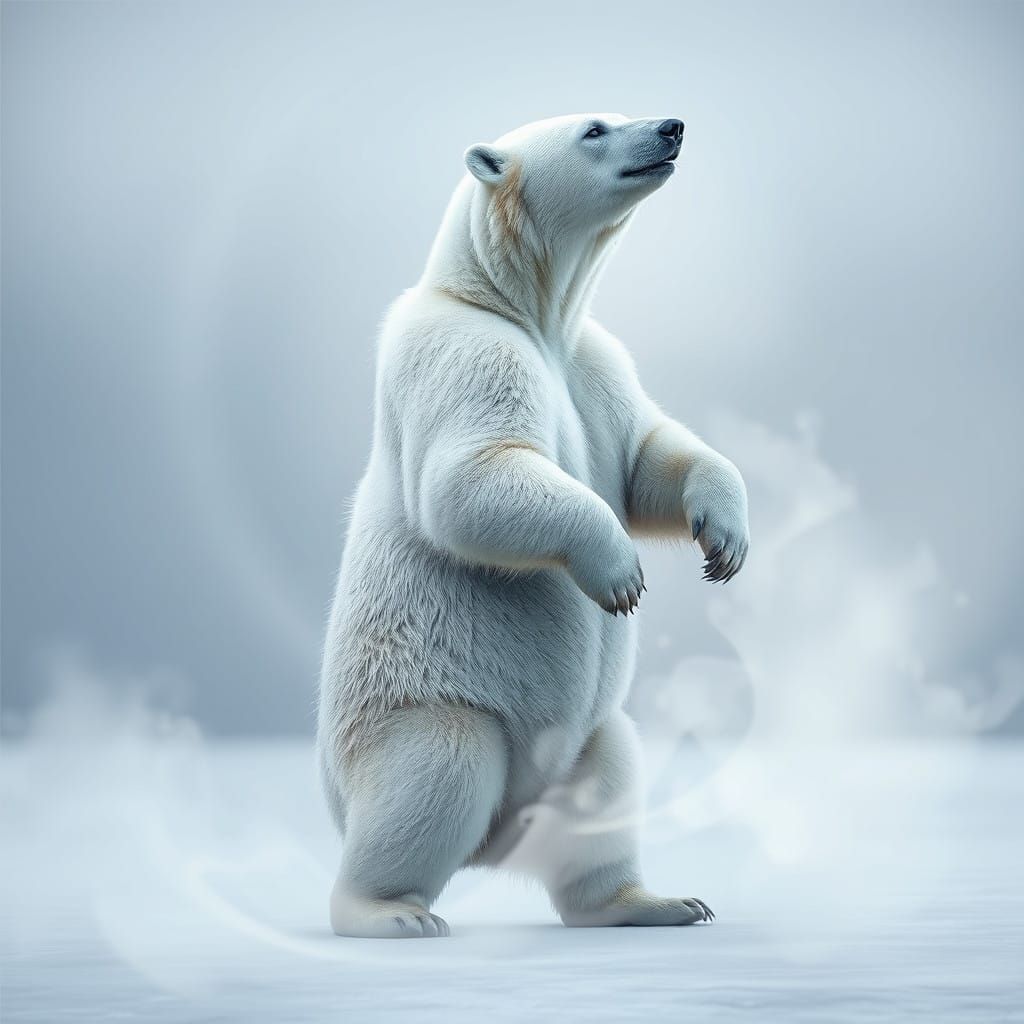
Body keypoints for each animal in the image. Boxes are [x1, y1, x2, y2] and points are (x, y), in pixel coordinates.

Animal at [318, 113, 749, 938]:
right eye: (595, 127)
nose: (672, 126)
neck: (516, 306)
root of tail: (500, 840)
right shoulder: (462, 350)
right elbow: (473, 475)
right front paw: (618, 572)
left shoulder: (593, 362)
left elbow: (648, 457)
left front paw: (726, 538)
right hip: (425, 711)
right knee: (436, 773)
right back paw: (391, 911)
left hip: (583, 740)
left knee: (609, 781)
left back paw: (657, 902)